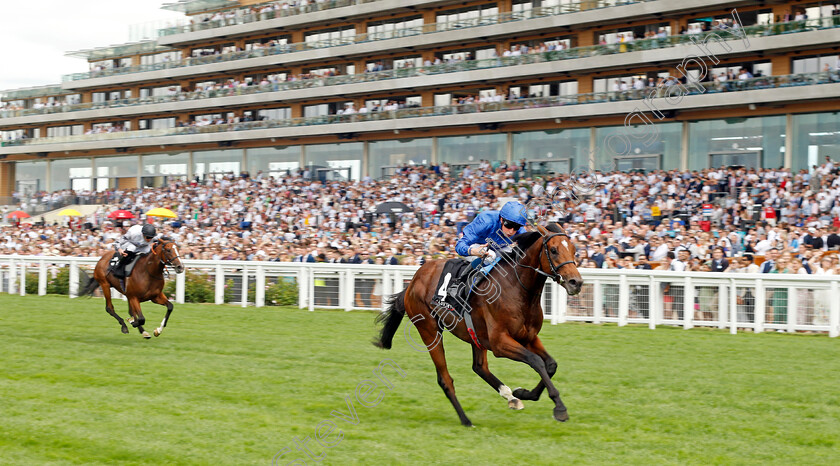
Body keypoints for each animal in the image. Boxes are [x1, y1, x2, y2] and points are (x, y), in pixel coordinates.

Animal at [376, 224, 580, 428]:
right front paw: (559, 408)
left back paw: (511, 397)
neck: (517, 289)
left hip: (475, 334)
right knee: (445, 379)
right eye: (553, 250)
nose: (576, 282)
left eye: (574, 249)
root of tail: (412, 282)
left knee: (479, 367)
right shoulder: (499, 343)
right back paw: (466, 420)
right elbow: (536, 361)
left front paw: (524, 393)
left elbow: (551, 364)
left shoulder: (528, 337)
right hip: (429, 331)